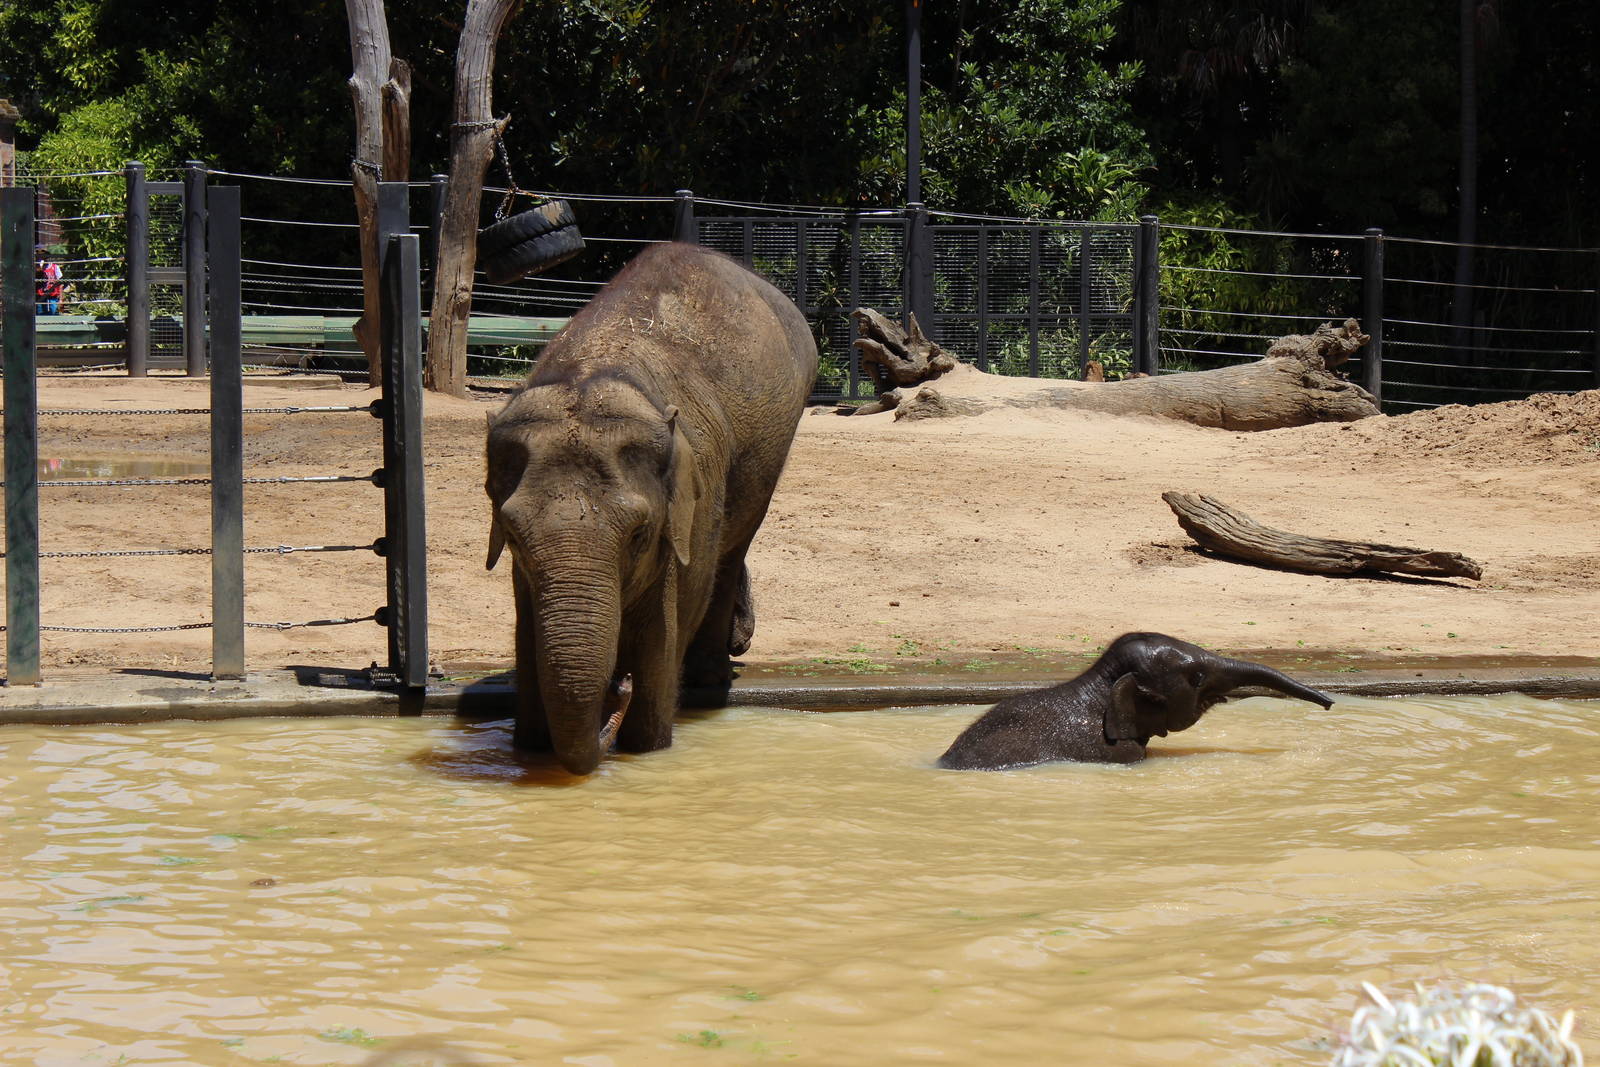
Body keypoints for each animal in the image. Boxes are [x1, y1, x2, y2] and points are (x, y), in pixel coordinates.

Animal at [485, 242, 817, 775]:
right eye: (512, 536)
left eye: (639, 534)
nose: (617, 686)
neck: (594, 374)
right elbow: (529, 630)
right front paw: (530, 749)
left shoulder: (694, 497)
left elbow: (670, 619)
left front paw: (647, 747)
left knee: (731, 551)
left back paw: (706, 679)